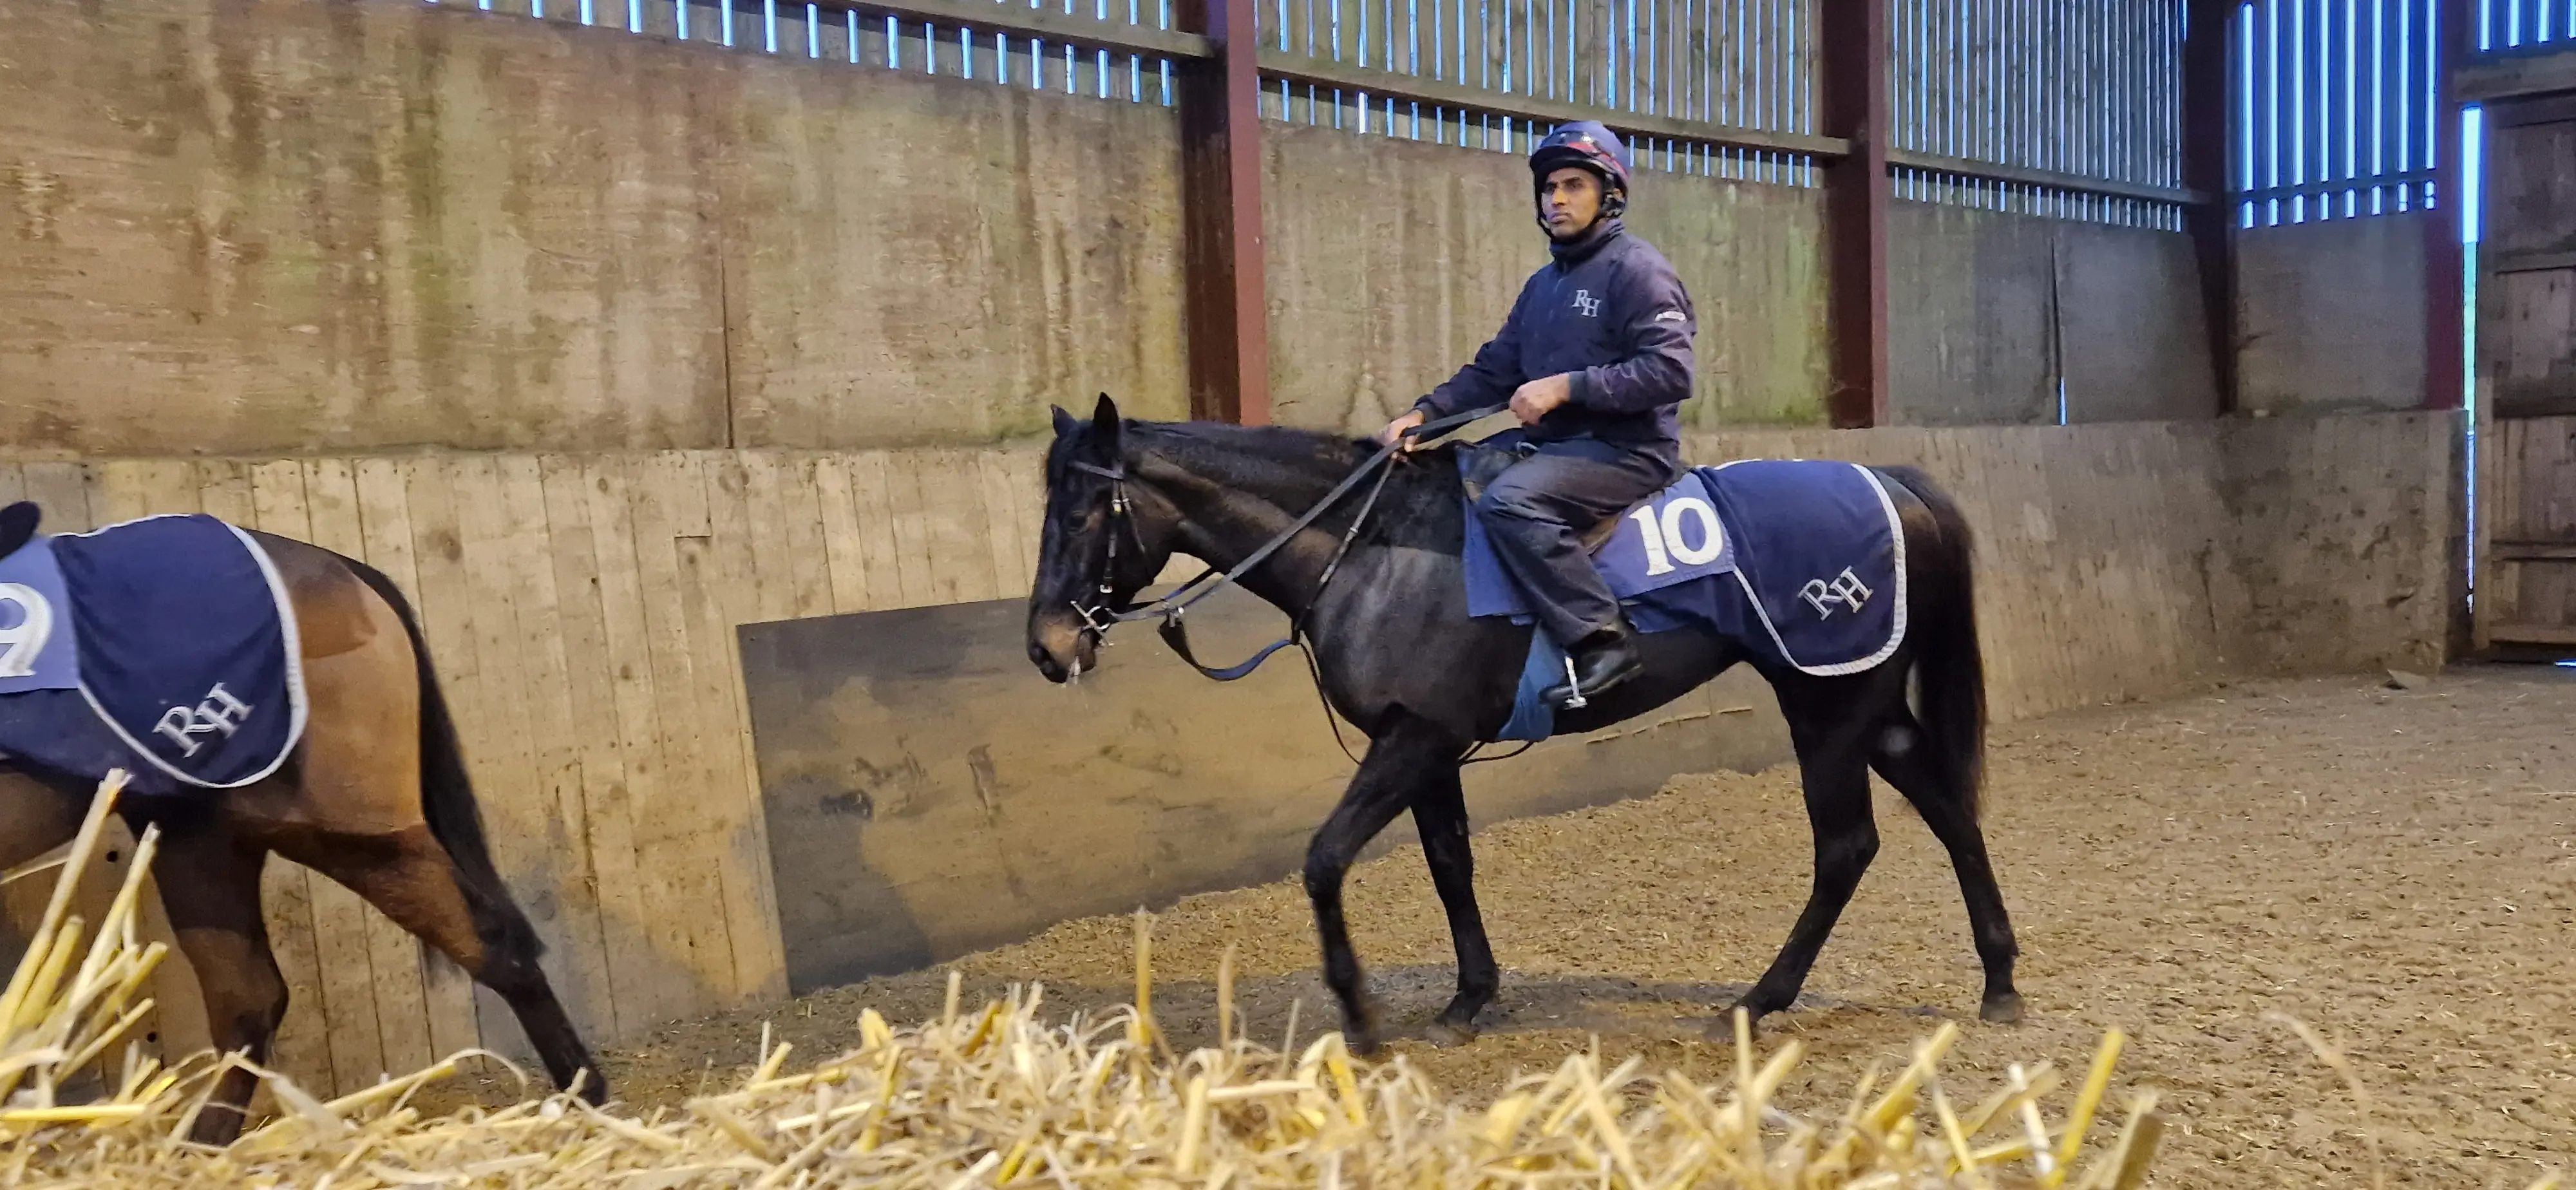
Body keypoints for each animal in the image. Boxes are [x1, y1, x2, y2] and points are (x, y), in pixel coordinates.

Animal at [0, 513, 600, 1144]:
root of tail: (343, 570)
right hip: (201, 839)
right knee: (248, 997)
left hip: (345, 833)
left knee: (495, 942)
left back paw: (585, 1099)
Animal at [1020, 397, 2009, 1051]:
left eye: (1084, 510)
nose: (1044, 645)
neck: (1374, 549)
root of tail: (1891, 481)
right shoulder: (1426, 745)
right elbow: (1449, 865)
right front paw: (1468, 999)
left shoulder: (1412, 737)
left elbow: (1326, 859)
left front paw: (1362, 1016)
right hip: (1862, 703)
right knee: (1949, 809)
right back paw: (2000, 981)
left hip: (1825, 707)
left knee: (1846, 847)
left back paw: (1760, 1000)